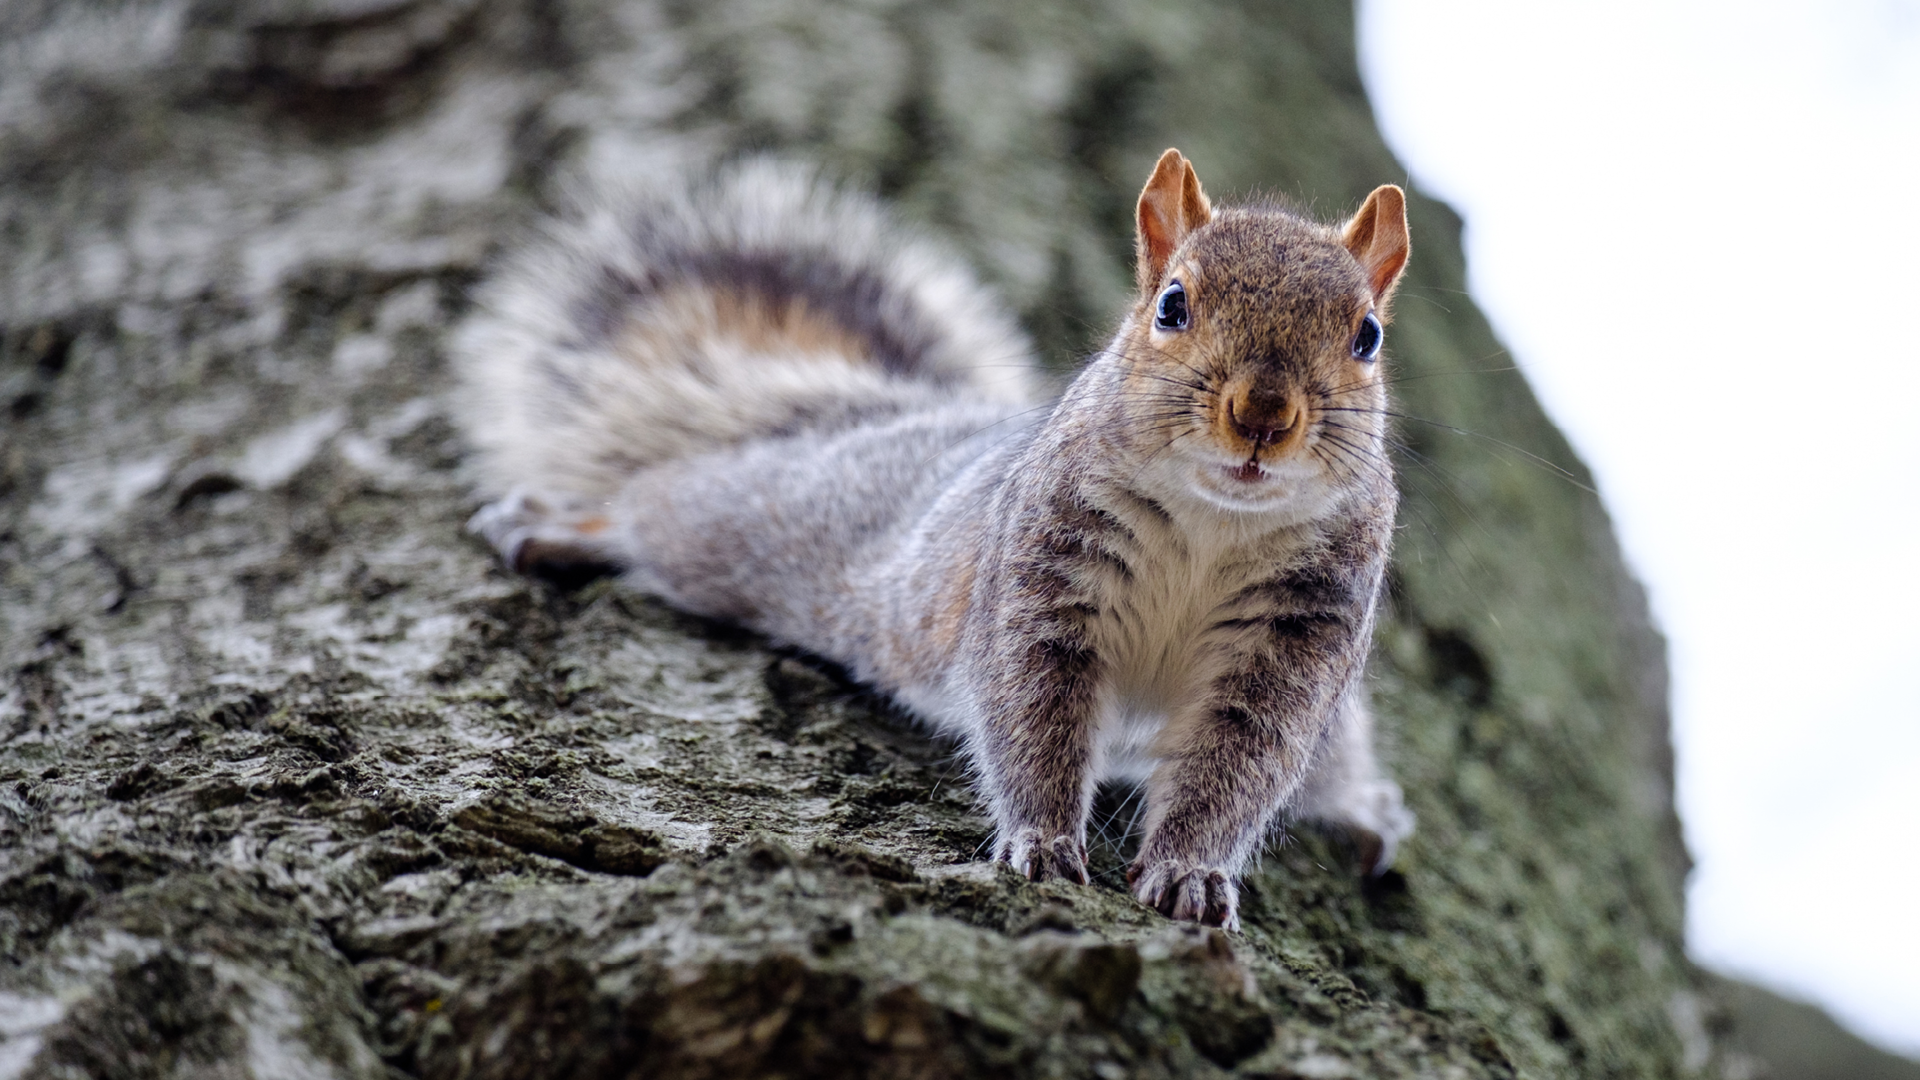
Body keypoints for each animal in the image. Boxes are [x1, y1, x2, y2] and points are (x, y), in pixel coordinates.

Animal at [453, 150, 1415, 931]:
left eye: (1368, 336)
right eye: (1173, 305)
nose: (1263, 416)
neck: (1217, 520)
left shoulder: (1298, 639)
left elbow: (1238, 765)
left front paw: (1189, 873)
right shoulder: (1042, 580)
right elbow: (1033, 716)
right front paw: (1042, 843)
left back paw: (1365, 810)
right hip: (756, 522)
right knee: (657, 506)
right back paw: (566, 527)